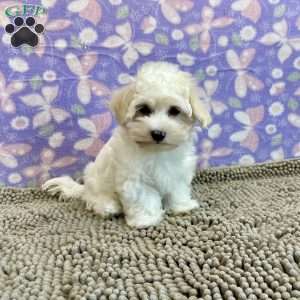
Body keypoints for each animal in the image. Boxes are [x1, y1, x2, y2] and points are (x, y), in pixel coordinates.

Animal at [42, 62, 211, 229]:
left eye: (174, 111)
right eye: (144, 109)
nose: (158, 133)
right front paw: (145, 220)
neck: (155, 151)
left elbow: (177, 189)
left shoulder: (177, 172)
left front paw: (182, 206)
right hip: (95, 182)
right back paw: (108, 206)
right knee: (93, 199)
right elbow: (144, 198)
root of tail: (85, 188)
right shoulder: (135, 179)